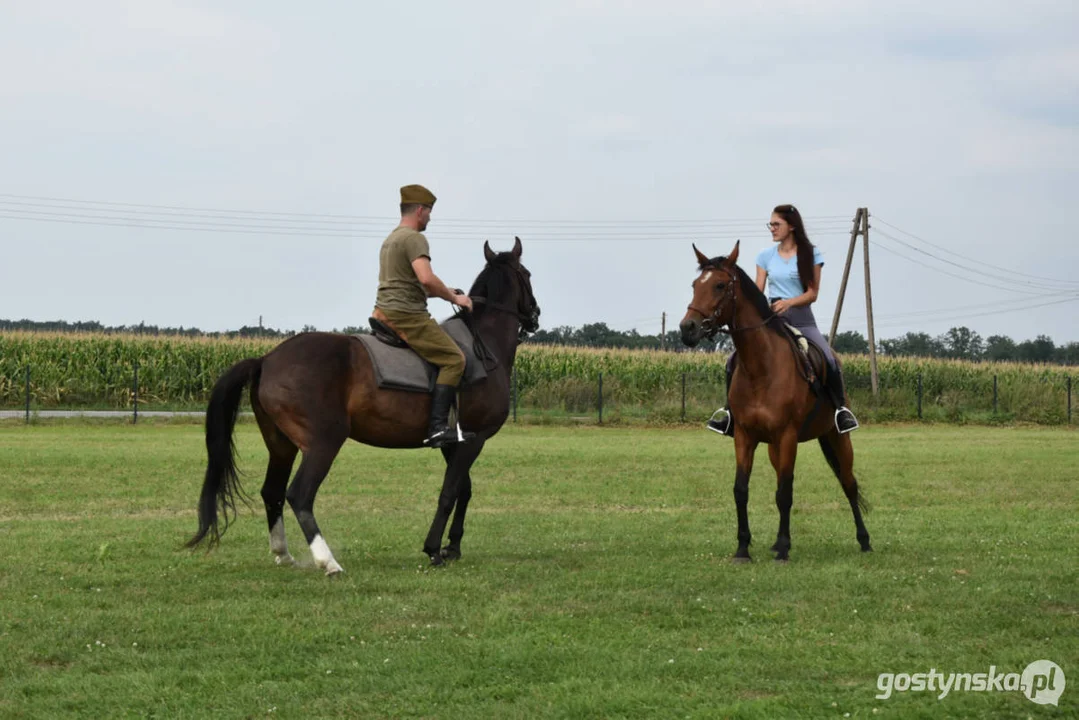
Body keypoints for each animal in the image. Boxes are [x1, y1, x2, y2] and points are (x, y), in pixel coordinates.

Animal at [187, 239, 539, 578]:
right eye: (528, 274)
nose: (535, 314)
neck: (484, 347)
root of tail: (266, 360)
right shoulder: (474, 439)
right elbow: (449, 492)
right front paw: (434, 550)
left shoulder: (455, 442)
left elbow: (463, 490)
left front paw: (452, 547)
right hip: (323, 442)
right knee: (299, 494)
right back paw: (328, 562)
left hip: (281, 445)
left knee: (271, 491)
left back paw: (283, 554)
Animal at [677, 241, 871, 561]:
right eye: (695, 285)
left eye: (719, 285)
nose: (687, 328)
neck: (761, 367)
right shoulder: (744, 436)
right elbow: (741, 490)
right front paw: (743, 548)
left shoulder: (788, 435)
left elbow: (785, 492)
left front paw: (782, 548)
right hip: (774, 447)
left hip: (837, 437)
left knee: (849, 483)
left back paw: (865, 540)